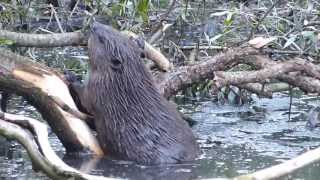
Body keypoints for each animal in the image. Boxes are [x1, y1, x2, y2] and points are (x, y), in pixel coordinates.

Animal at [69, 22, 199, 165]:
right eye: (115, 31)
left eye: (101, 39)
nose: (94, 24)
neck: (123, 79)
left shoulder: (99, 88)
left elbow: (85, 101)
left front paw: (70, 77)